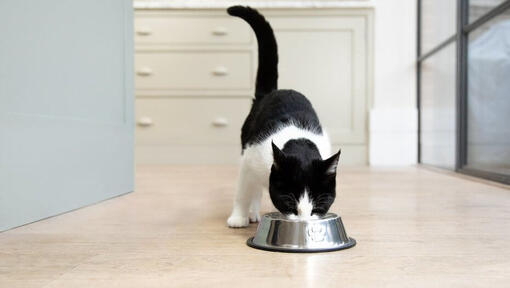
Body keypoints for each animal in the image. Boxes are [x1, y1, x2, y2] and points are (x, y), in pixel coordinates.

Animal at [226, 5, 338, 228]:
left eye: (317, 207)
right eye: (289, 202)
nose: (303, 221)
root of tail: (272, 92)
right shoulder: (249, 158)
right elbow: (242, 191)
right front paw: (238, 218)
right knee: (252, 188)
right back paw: (249, 213)